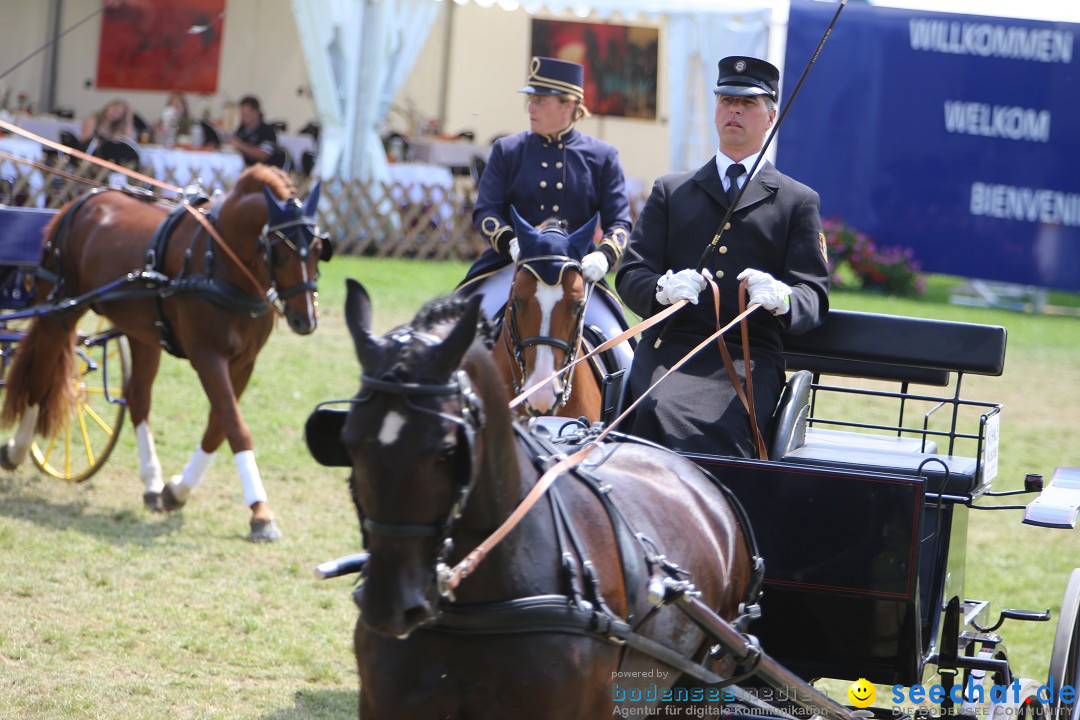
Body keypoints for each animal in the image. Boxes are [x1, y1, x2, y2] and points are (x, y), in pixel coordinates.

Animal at [1, 166, 328, 544]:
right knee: (40, 374)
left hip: (140, 333)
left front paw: (176, 491)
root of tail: (82, 201)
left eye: (319, 249)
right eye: (281, 253)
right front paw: (260, 512)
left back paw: (151, 480)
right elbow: (235, 426)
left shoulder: (244, 362)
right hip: (60, 310)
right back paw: (17, 448)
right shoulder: (207, 356)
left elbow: (218, 427)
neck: (219, 258)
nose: (305, 319)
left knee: (138, 399)